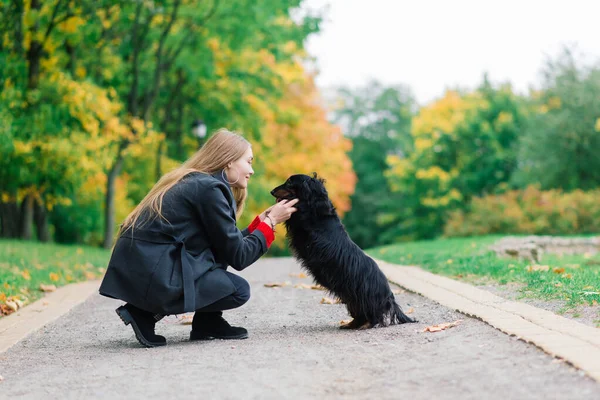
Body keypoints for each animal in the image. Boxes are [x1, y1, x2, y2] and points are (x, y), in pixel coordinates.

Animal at [270, 173, 414, 330]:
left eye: (290, 182)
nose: (271, 191)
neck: (316, 207)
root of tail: (388, 294)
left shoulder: (302, 220)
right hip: (352, 299)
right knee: (360, 315)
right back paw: (350, 324)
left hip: (362, 298)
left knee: (372, 315)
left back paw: (364, 325)